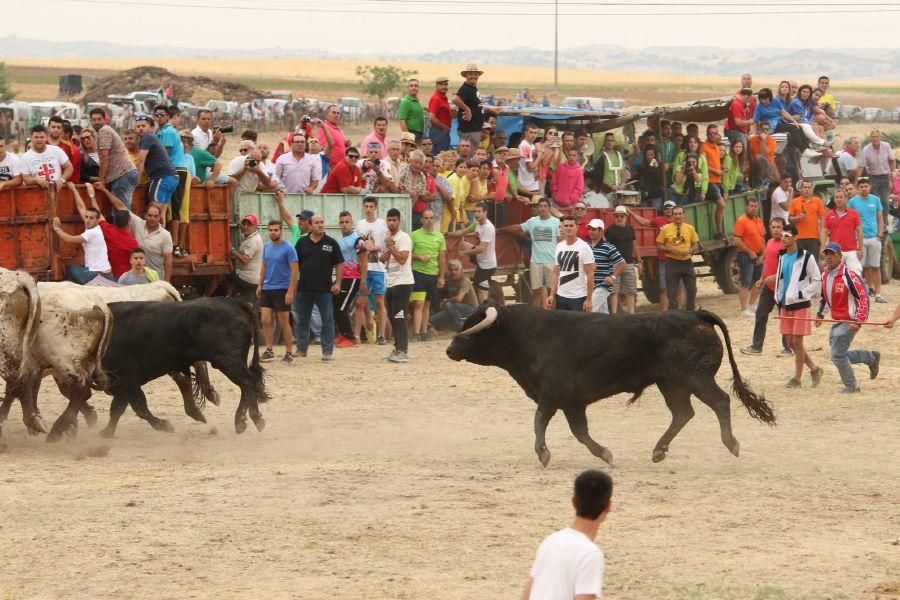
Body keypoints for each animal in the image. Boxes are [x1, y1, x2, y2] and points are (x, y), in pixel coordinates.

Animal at [99, 298, 268, 436]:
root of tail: (233, 302)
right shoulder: (121, 383)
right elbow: (120, 407)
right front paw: (106, 433)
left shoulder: (125, 378)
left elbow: (136, 406)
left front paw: (163, 425)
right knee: (250, 383)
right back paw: (252, 419)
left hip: (227, 360)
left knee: (247, 382)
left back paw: (242, 420)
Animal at [442, 302, 772, 466]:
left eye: (473, 327)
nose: (449, 349)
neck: (528, 334)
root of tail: (696, 313)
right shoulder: (572, 403)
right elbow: (579, 432)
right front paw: (604, 454)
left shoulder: (552, 395)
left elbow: (540, 422)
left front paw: (543, 454)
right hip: (671, 383)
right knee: (683, 413)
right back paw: (658, 451)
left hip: (695, 378)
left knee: (719, 402)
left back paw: (731, 444)